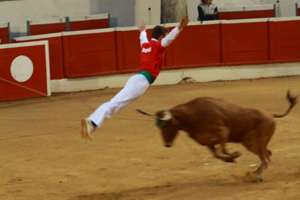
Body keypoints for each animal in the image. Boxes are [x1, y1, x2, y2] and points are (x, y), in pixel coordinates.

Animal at [138, 91, 298, 182]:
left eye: (166, 126)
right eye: (158, 127)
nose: (167, 144)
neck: (192, 116)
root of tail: (271, 115)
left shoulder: (223, 133)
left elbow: (224, 150)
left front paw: (235, 155)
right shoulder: (207, 141)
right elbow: (217, 154)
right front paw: (230, 159)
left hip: (257, 142)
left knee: (266, 158)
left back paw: (259, 177)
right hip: (251, 143)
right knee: (268, 154)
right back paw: (255, 172)